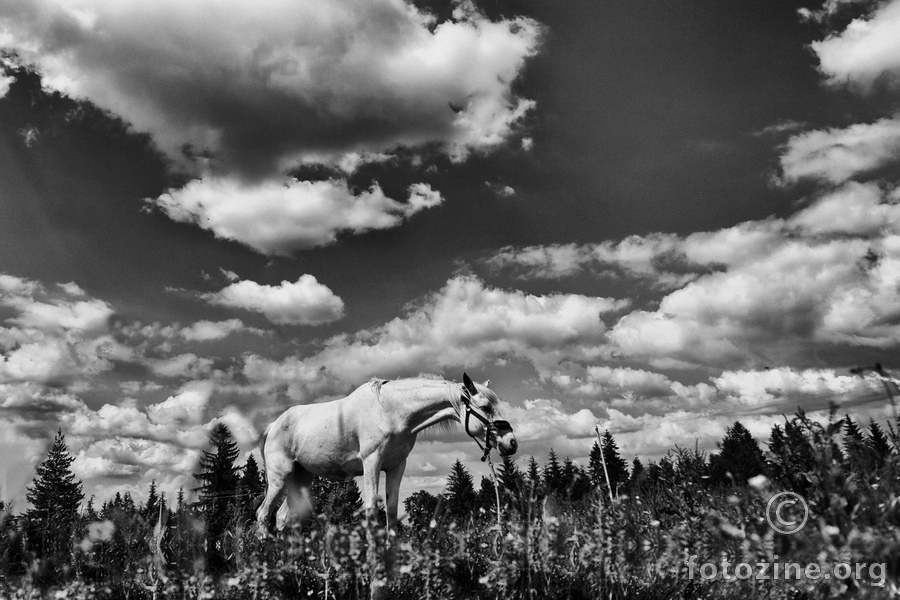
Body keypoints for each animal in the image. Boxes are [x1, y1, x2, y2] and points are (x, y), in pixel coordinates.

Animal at [256, 373, 517, 536]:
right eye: (485, 407)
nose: (511, 443)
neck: (390, 411)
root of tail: (273, 426)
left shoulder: (396, 466)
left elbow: (391, 511)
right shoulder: (371, 462)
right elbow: (372, 509)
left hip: (300, 479)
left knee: (282, 518)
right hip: (281, 478)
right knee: (263, 514)